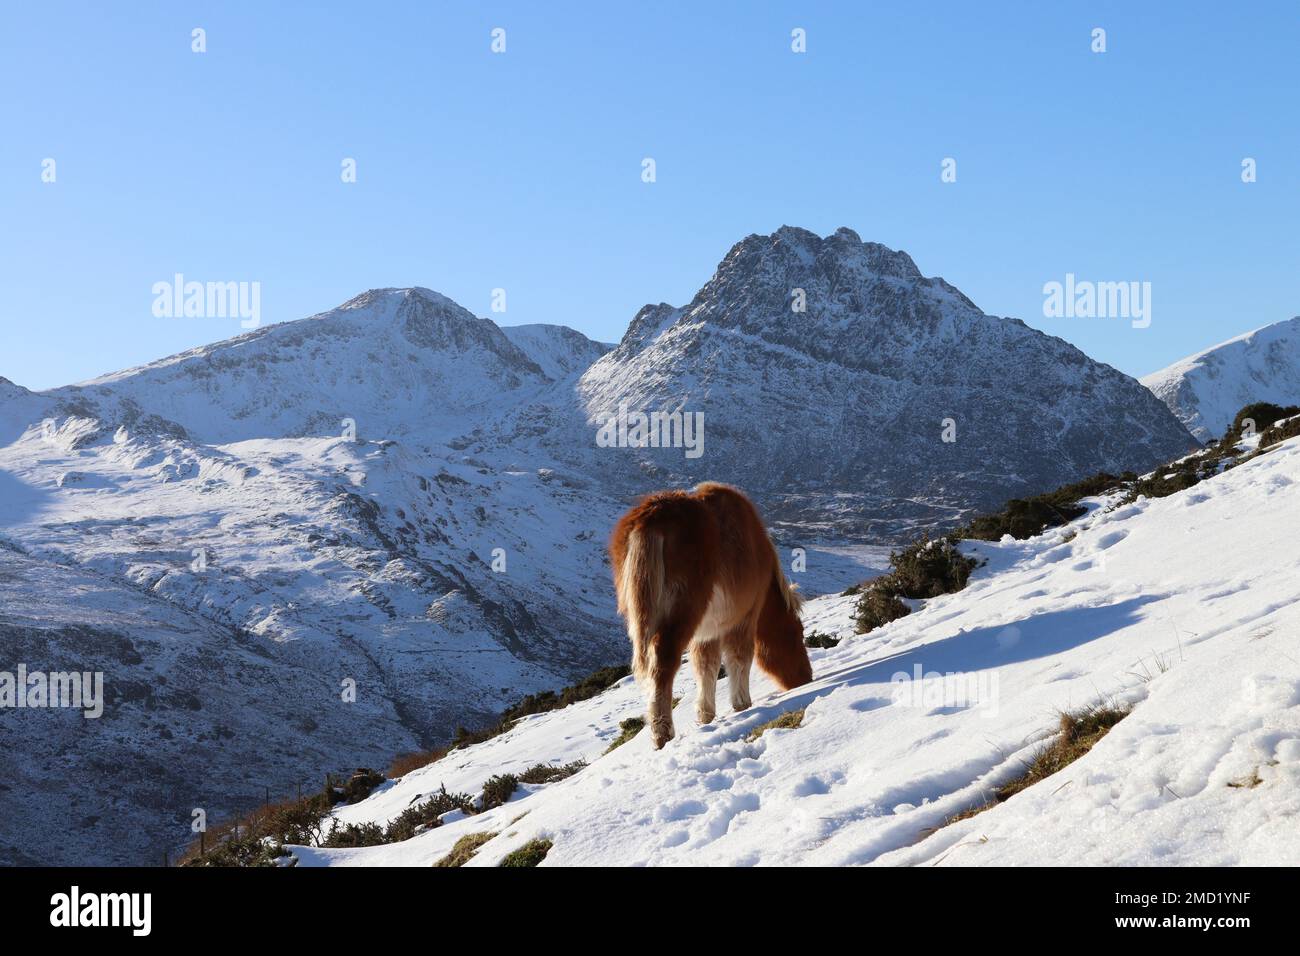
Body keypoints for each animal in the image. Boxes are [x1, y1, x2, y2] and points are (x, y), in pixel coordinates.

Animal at [608, 481, 811, 749]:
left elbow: (706, 666)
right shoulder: (744, 618)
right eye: (798, 633)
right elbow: (739, 657)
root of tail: (651, 519)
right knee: (663, 664)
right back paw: (662, 734)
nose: (806, 677)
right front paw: (742, 704)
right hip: (682, 614)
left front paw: (706, 715)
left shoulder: (707, 632)